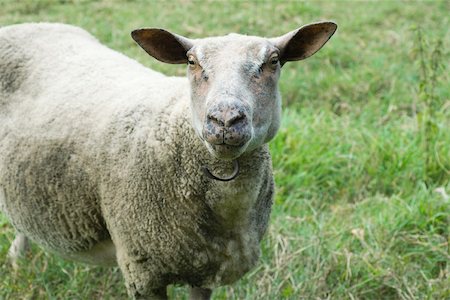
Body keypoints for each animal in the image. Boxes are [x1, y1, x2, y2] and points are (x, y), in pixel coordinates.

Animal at [0, 22, 336, 298]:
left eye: (274, 61)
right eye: (191, 62)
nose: (225, 119)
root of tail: (28, 25)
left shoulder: (206, 269)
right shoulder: (141, 269)